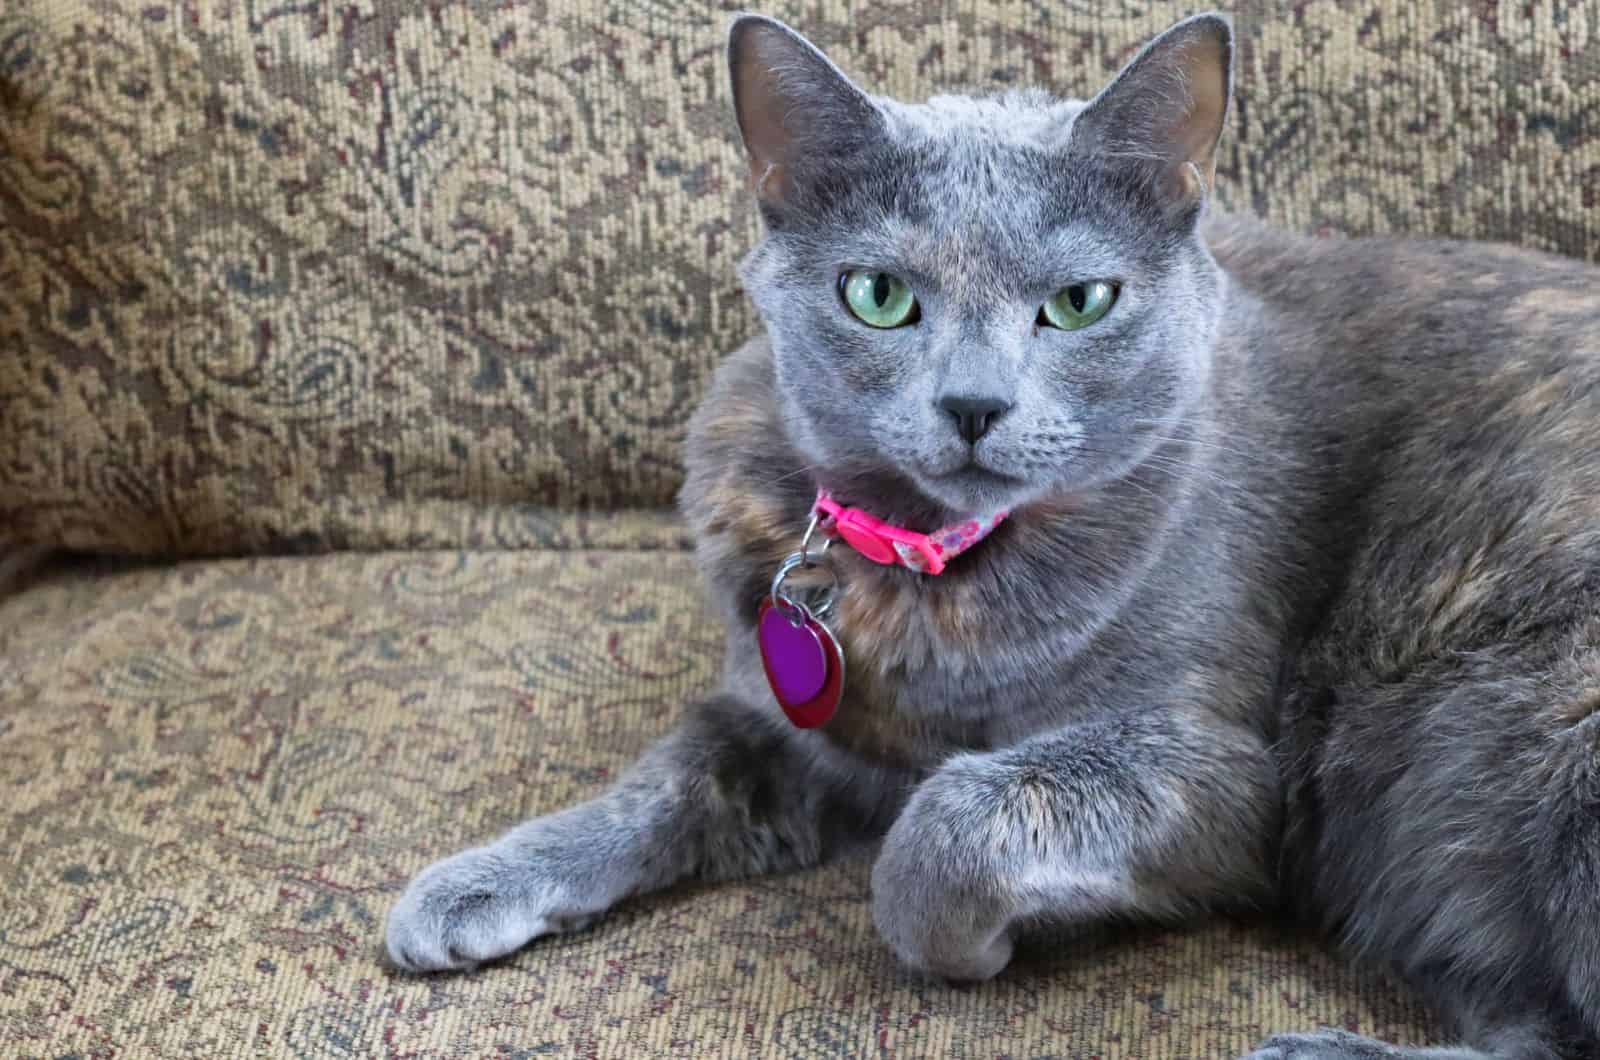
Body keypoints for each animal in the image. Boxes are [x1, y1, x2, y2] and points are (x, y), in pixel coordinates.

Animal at [380, 10, 1600, 1060]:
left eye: (1079, 302)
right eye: (876, 294)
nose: (973, 403)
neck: (934, 580)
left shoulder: (1227, 774)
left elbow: (952, 818)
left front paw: (963, 943)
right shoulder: (789, 718)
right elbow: (668, 775)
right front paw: (472, 882)